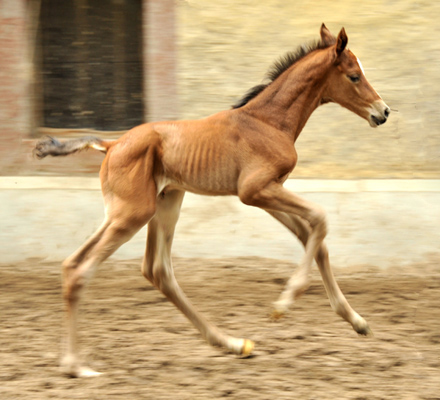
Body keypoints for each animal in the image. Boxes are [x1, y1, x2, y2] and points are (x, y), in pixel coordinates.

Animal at [36, 23, 390, 376]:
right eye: (354, 75)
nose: (383, 112)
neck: (268, 121)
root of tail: (111, 145)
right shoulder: (255, 190)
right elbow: (320, 218)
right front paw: (283, 304)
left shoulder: (269, 192)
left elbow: (313, 239)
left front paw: (357, 321)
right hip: (133, 214)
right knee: (84, 269)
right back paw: (75, 365)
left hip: (159, 204)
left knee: (147, 269)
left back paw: (231, 343)